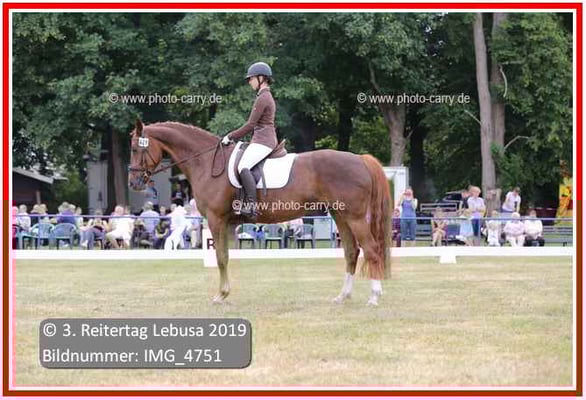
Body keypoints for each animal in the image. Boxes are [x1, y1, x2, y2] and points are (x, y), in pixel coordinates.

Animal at [128, 119, 392, 306]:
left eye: (135, 149)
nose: (134, 183)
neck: (206, 162)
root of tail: (360, 159)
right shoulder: (229, 223)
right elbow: (226, 256)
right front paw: (225, 293)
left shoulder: (215, 219)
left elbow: (220, 257)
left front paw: (220, 295)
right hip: (340, 216)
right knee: (351, 252)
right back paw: (342, 296)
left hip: (355, 217)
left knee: (371, 249)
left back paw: (374, 297)